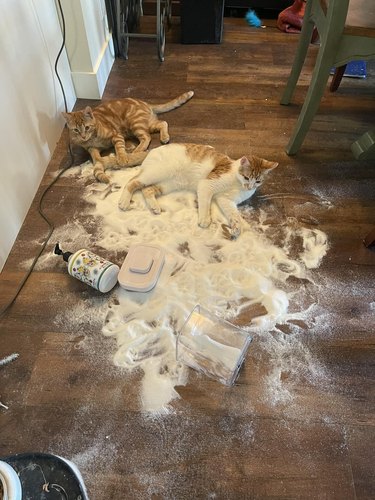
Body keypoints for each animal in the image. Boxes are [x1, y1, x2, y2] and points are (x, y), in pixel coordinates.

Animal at [61, 91, 194, 183]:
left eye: (87, 127)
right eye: (76, 130)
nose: (83, 136)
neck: (93, 138)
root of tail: (146, 103)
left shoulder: (116, 135)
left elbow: (119, 148)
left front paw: (122, 158)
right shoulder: (92, 148)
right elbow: (95, 156)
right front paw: (100, 161)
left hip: (135, 124)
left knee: (147, 137)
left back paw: (137, 150)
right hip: (146, 124)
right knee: (163, 123)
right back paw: (164, 136)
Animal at [118, 143, 280, 240]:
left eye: (258, 181)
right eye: (247, 177)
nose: (250, 187)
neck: (238, 184)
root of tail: (153, 150)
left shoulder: (226, 200)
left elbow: (234, 216)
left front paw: (236, 228)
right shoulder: (206, 185)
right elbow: (206, 203)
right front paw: (205, 219)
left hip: (168, 183)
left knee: (147, 190)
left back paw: (154, 207)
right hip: (157, 172)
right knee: (132, 182)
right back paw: (124, 202)